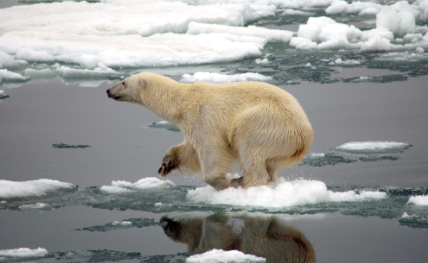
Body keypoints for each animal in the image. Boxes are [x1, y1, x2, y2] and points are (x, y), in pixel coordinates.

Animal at [106, 72, 314, 192]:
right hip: (283, 145)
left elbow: (211, 149)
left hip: (269, 122)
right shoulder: (189, 123)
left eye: (123, 82)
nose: (108, 90)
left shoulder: (203, 117)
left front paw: (223, 183)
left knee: (247, 141)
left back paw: (243, 182)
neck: (181, 101)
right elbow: (188, 150)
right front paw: (166, 164)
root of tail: (305, 136)